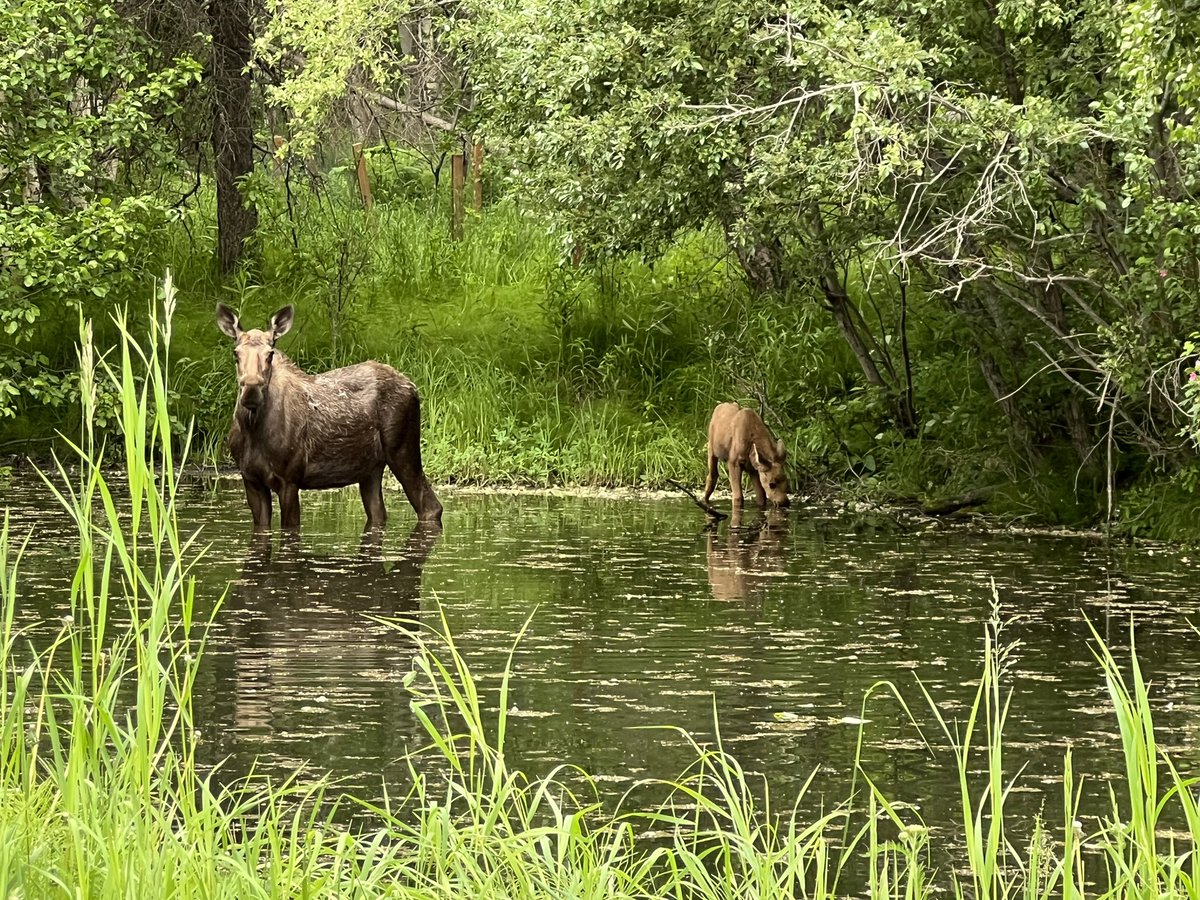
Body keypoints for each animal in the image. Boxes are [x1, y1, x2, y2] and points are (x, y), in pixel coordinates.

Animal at [218, 304, 444, 528]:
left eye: (270, 353)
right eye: (236, 353)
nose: (251, 390)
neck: (253, 429)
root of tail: (413, 387)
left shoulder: (290, 479)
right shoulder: (250, 479)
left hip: (402, 450)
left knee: (431, 507)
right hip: (371, 469)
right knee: (379, 514)